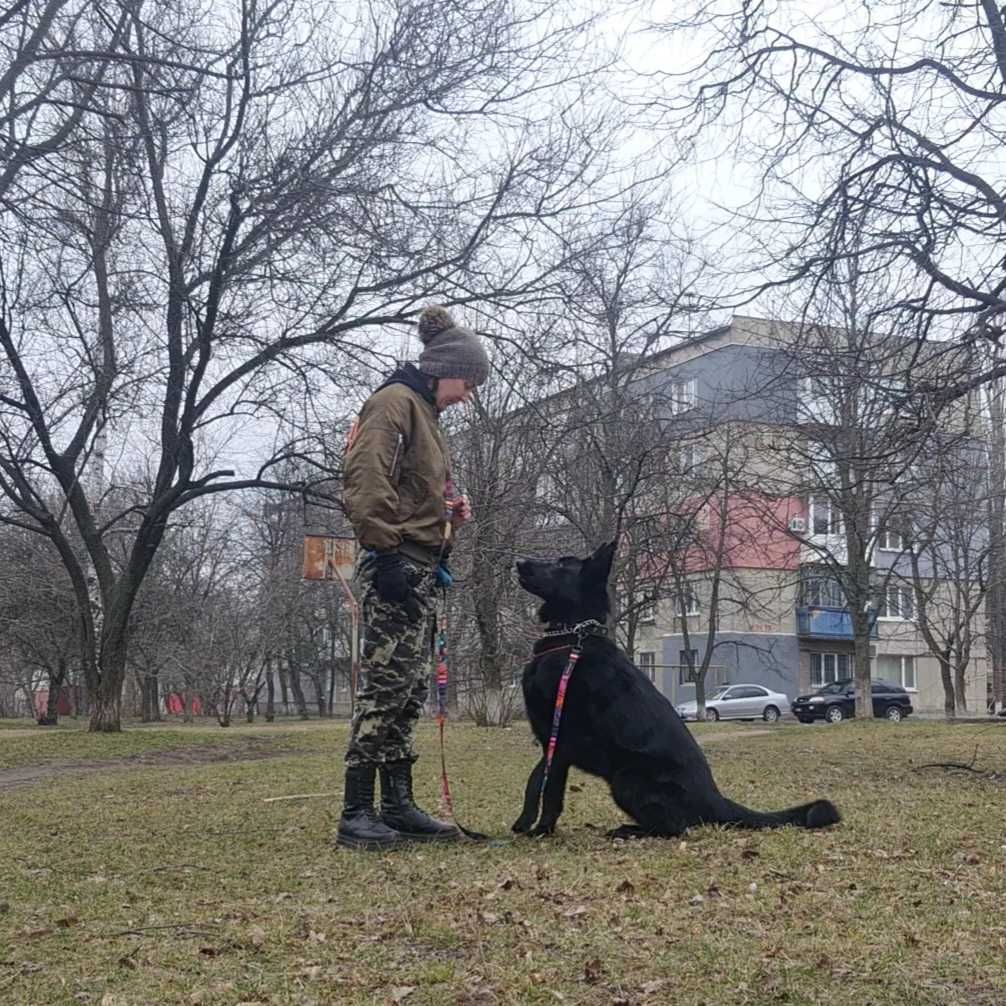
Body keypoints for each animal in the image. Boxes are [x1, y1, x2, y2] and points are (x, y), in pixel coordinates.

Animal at [511, 547, 841, 836]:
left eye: (560, 564)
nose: (518, 562)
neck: (572, 636)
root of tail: (715, 798)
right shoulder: (550, 742)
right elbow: (534, 781)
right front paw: (525, 823)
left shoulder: (560, 740)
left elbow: (550, 790)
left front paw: (541, 830)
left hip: (627, 779)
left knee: (676, 828)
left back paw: (629, 831)